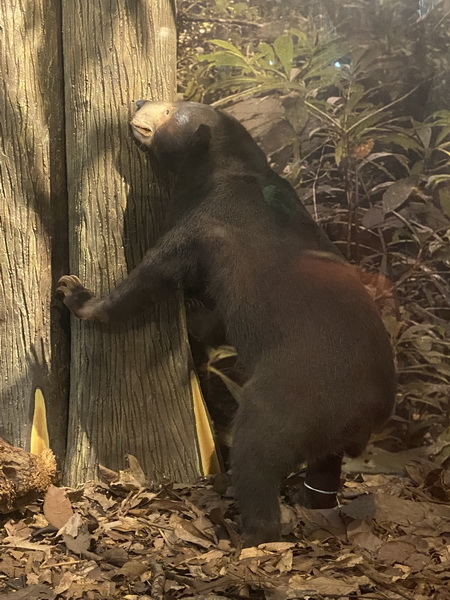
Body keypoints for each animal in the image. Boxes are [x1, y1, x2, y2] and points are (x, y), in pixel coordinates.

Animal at [57, 101, 398, 548]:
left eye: (169, 108)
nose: (137, 104)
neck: (232, 166)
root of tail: (374, 410)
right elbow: (212, 318)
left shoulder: (201, 225)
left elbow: (150, 277)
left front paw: (76, 294)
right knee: (325, 468)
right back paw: (313, 503)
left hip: (288, 402)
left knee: (257, 457)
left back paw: (239, 534)